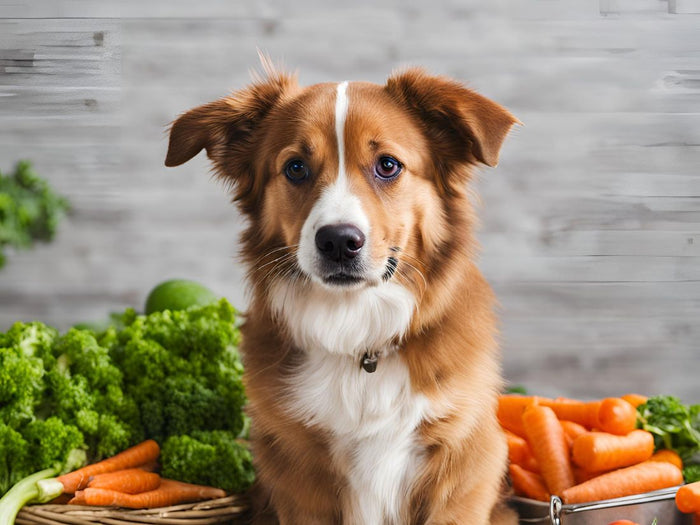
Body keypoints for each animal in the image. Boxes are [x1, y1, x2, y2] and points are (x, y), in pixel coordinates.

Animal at [165, 62, 520, 524]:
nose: (337, 241)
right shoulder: (297, 474)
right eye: (296, 167)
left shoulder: (464, 461)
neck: (358, 334)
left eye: (388, 165)